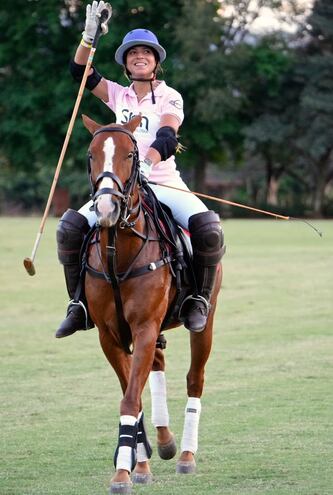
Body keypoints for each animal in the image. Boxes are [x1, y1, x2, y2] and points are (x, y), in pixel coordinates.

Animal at [80, 114, 222, 494]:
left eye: (131, 154)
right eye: (90, 154)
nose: (105, 209)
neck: (119, 252)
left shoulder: (143, 327)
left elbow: (130, 396)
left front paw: (122, 473)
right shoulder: (109, 335)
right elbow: (134, 393)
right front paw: (136, 465)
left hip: (205, 319)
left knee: (195, 378)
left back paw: (186, 454)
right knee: (156, 366)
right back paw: (163, 443)